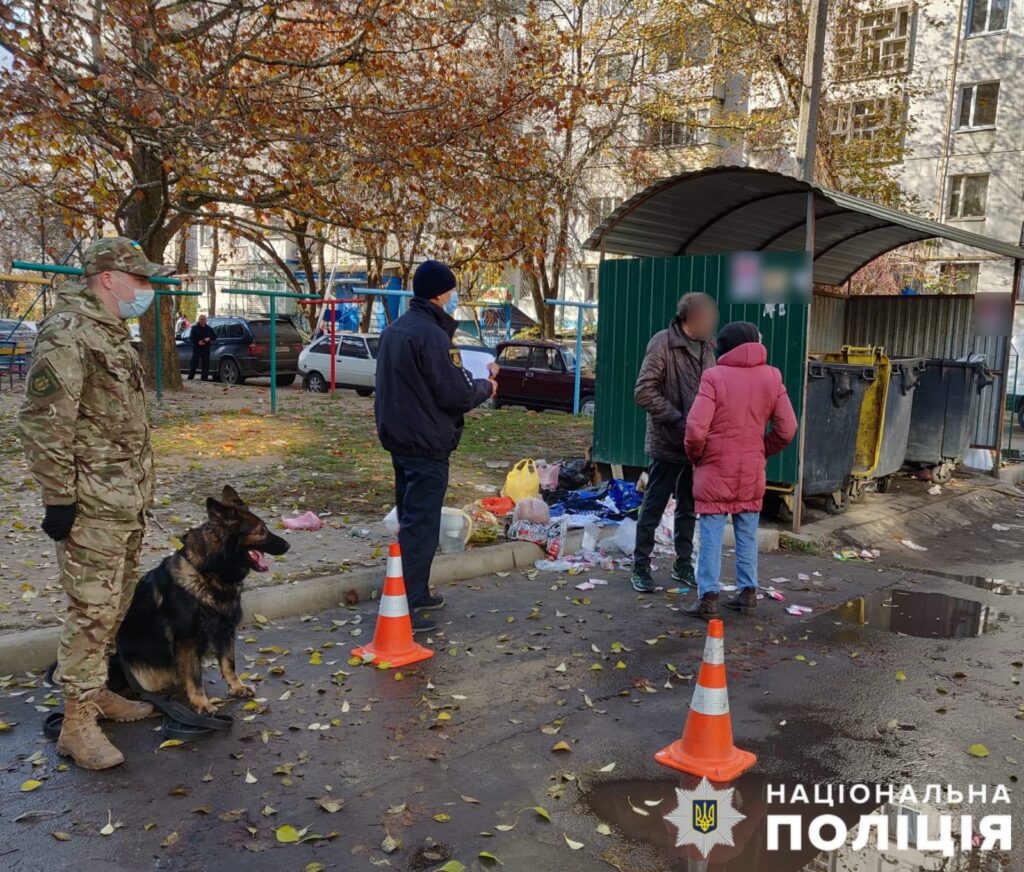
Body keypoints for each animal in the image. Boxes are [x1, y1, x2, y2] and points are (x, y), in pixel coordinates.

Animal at [117, 483, 290, 716]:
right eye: (261, 530)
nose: (288, 545)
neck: (209, 574)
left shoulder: (226, 629)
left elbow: (229, 663)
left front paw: (236, 687)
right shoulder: (188, 641)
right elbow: (195, 676)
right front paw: (201, 702)